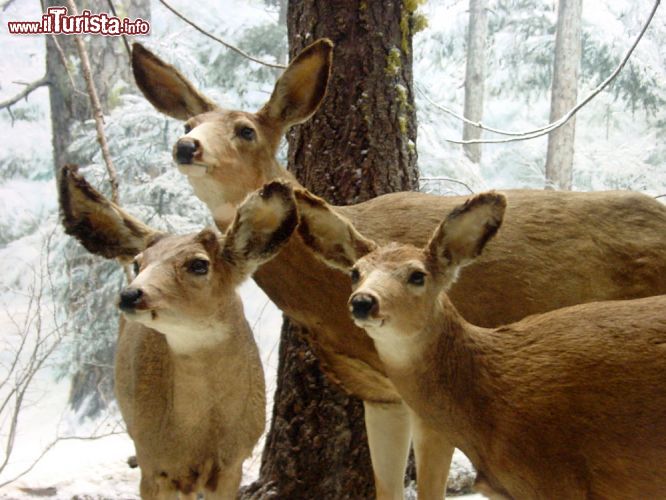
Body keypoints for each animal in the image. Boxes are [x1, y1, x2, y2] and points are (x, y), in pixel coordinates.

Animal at [59, 165, 298, 500]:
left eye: (199, 264)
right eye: (138, 264)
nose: (130, 295)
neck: (197, 435)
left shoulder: (234, 461)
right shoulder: (152, 463)